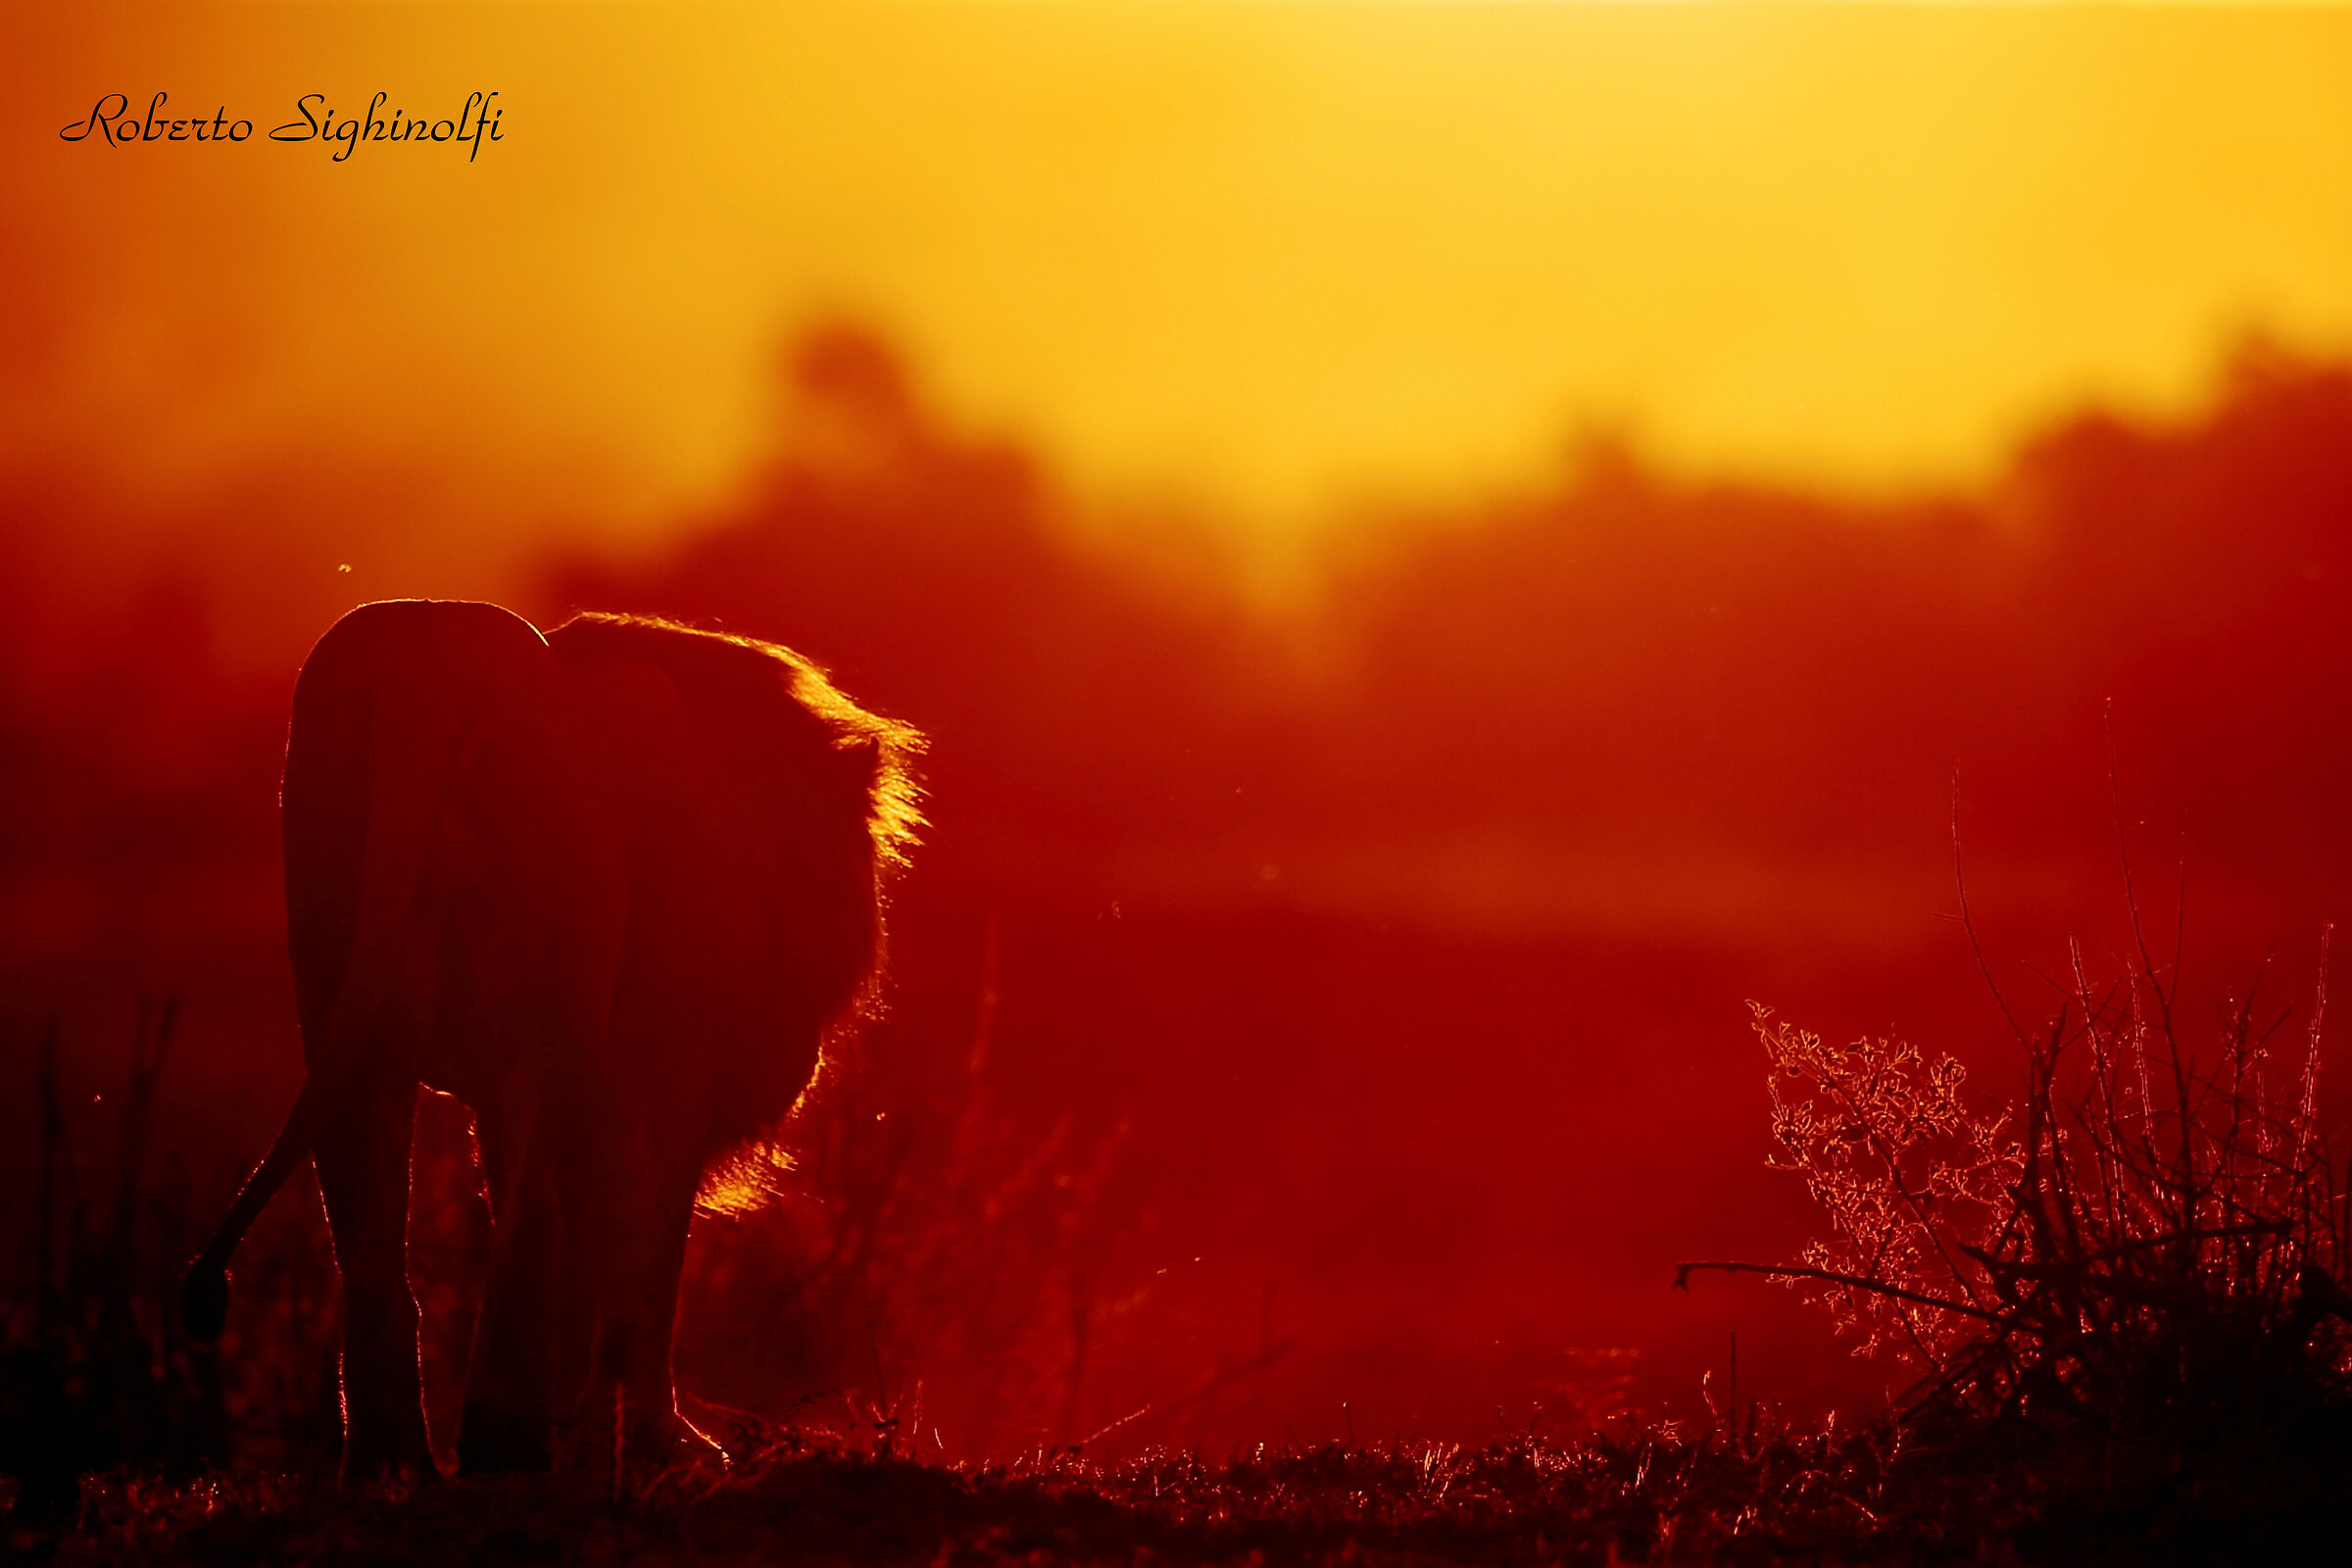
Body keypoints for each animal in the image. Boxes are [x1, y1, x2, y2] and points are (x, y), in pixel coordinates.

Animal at [179, 601, 921, 1479]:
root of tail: (424, 663)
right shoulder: (666, 1059)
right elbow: (646, 1245)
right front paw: (658, 1444)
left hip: (342, 995)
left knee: (379, 1246)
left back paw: (392, 1463)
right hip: (549, 1002)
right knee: (528, 1224)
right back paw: (506, 1440)